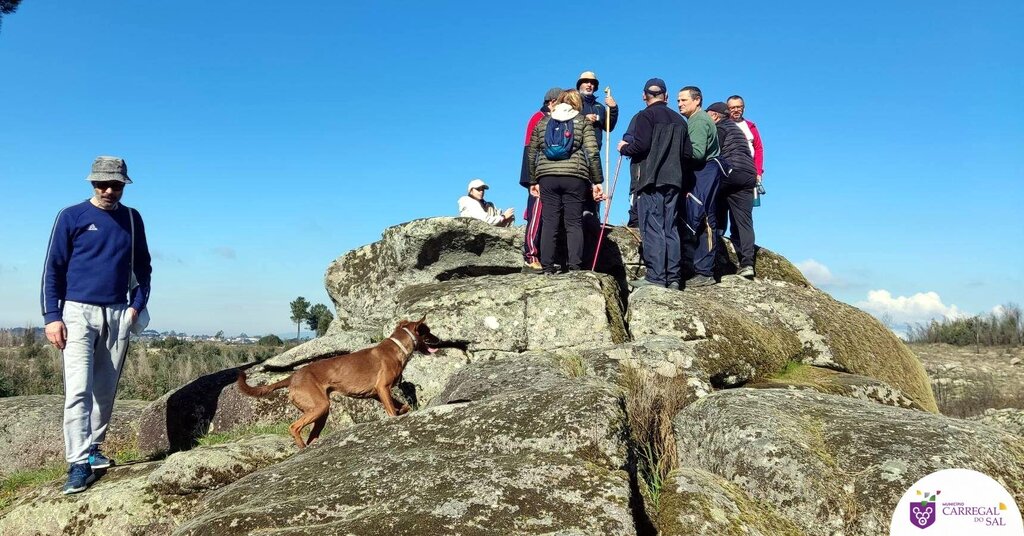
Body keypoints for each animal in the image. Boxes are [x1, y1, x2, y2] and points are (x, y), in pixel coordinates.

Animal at [236, 317, 440, 448]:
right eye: (428, 331)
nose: (440, 340)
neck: (397, 348)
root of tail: (292, 377)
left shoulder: (377, 393)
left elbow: (403, 406)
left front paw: (403, 410)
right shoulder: (383, 388)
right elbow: (392, 411)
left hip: (320, 412)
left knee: (312, 436)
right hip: (320, 406)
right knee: (294, 427)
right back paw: (301, 447)